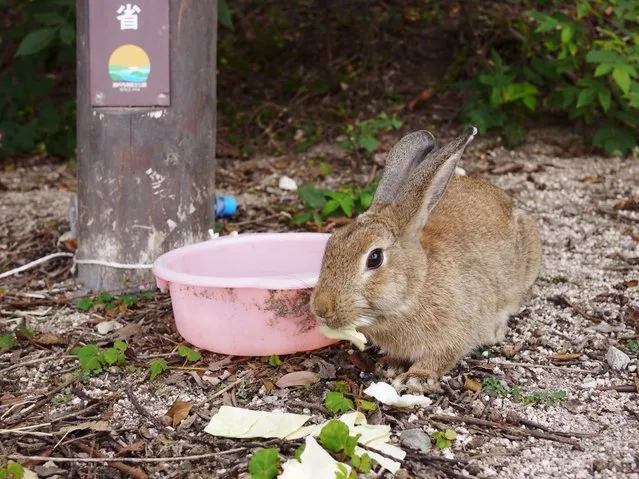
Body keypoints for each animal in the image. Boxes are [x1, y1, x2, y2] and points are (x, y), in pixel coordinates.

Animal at [312, 128, 544, 394]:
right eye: (331, 243)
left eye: (374, 258)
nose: (321, 309)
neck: (417, 287)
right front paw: (390, 365)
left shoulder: (455, 334)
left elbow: (440, 357)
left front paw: (416, 378)